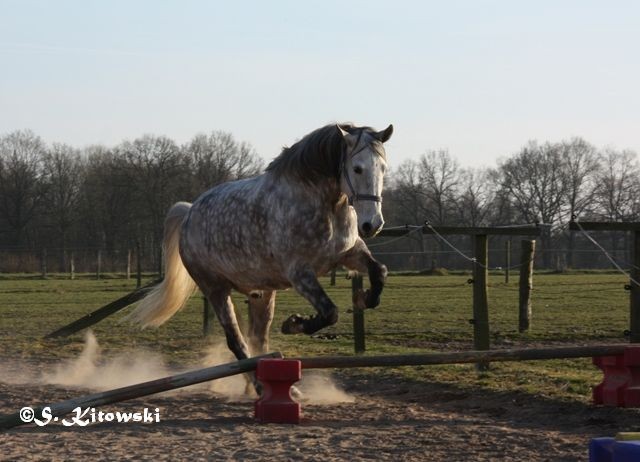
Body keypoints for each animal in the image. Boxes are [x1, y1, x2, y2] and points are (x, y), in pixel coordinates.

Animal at [127, 122, 392, 368]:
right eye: (357, 169)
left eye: (383, 169)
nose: (372, 225)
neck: (324, 206)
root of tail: (189, 212)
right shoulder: (300, 274)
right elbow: (329, 312)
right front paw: (294, 323)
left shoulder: (349, 253)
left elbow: (379, 271)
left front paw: (363, 298)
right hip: (215, 289)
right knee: (238, 342)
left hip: (262, 294)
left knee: (258, 340)